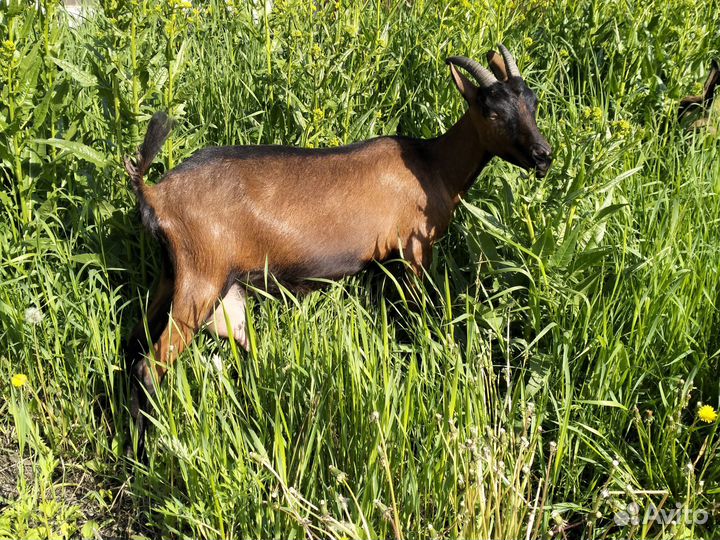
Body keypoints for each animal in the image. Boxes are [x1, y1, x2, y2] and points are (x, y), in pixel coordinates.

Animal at [124, 45, 552, 456]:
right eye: (491, 112)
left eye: (532, 103)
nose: (543, 155)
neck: (432, 165)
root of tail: (155, 194)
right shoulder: (413, 251)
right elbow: (419, 319)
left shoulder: (383, 264)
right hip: (202, 279)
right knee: (150, 365)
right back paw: (145, 453)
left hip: (175, 277)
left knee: (133, 343)